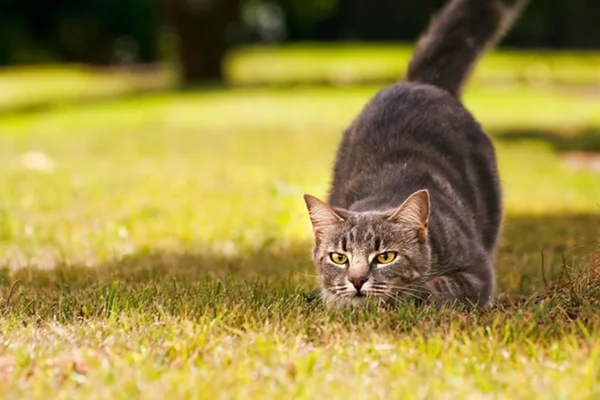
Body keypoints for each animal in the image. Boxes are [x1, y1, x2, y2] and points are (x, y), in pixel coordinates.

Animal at [302, 0, 528, 310]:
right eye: (339, 257)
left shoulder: (477, 272)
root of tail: (419, 83)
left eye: (385, 257)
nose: (357, 280)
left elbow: (435, 288)